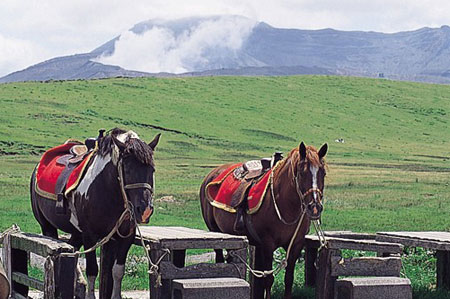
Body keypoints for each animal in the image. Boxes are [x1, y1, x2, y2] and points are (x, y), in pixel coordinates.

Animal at [30, 128, 160, 298]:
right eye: (127, 169)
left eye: (152, 169)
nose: (145, 210)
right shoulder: (90, 235)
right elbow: (92, 270)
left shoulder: (125, 236)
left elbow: (117, 271)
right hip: (47, 226)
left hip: (77, 233)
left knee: (73, 249)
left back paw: (79, 281)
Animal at [200, 142, 326, 298]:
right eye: (302, 173)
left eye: (323, 173)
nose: (314, 208)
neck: (286, 206)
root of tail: (211, 174)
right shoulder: (267, 245)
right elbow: (268, 279)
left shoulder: (296, 245)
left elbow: (288, 278)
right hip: (215, 231)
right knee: (219, 258)